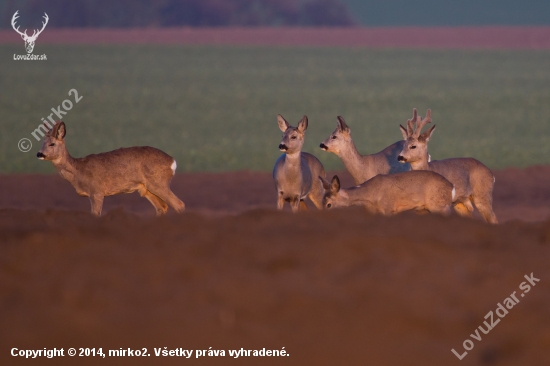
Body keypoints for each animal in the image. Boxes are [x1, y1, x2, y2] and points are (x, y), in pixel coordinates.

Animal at [38, 121, 188, 216]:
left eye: (52, 144)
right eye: (42, 143)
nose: (39, 154)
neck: (78, 170)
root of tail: (172, 161)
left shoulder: (97, 191)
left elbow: (95, 214)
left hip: (158, 183)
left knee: (179, 204)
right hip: (146, 189)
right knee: (162, 207)